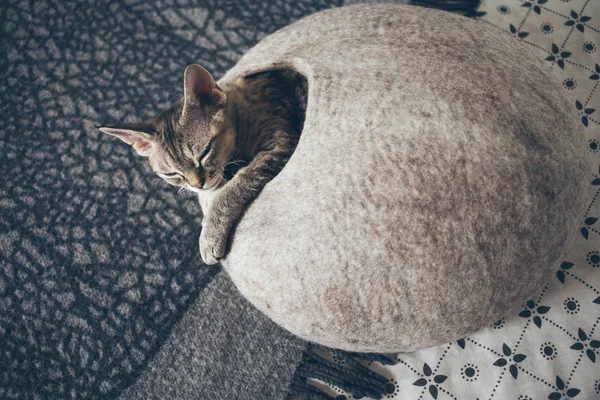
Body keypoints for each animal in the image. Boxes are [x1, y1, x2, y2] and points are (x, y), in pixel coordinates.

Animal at [100, 65, 308, 266]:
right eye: (171, 174)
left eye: (204, 152)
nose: (197, 185)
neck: (241, 113)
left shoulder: (280, 144)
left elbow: (233, 188)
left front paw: (209, 235)